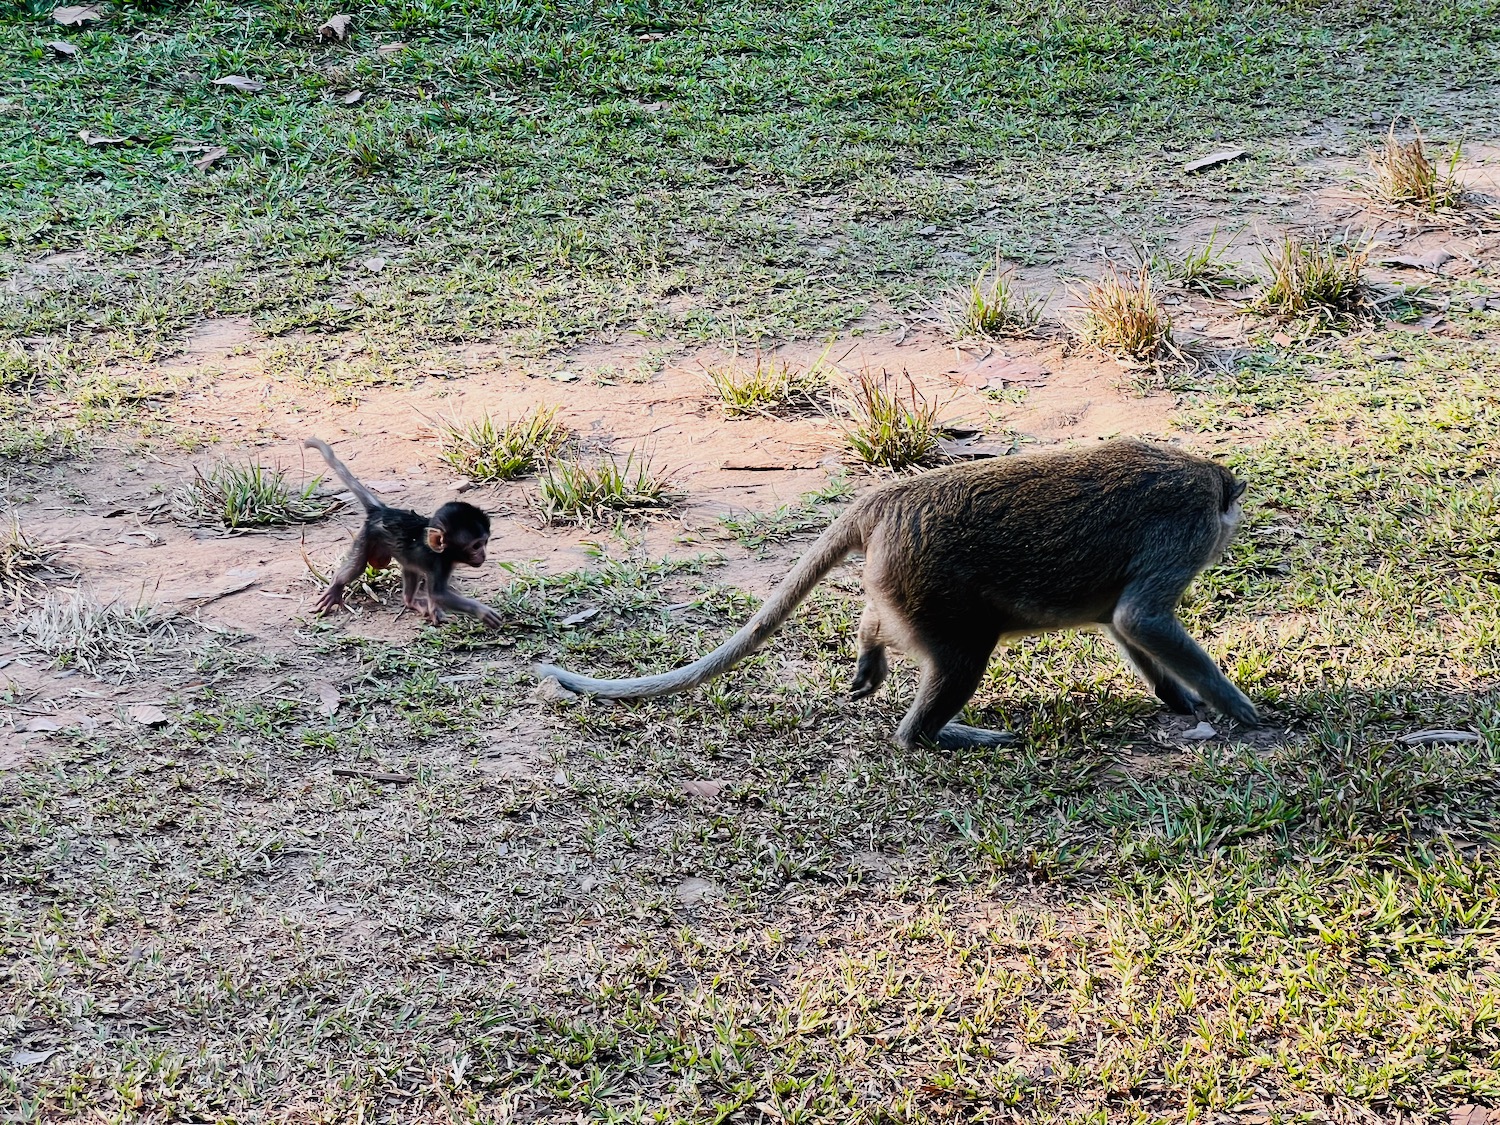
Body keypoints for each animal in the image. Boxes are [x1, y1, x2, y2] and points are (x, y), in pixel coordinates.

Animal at [306, 438, 504, 630]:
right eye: (476, 546)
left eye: (485, 543)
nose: (483, 554)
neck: (443, 552)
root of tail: (382, 511)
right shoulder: (440, 564)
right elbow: (439, 594)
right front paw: (482, 611)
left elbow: (434, 595)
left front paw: (436, 614)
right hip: (366, 537)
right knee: (358, 567)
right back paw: (336, 586)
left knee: (410, 568)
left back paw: (410, 602)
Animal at [534, 441, 1260, 750]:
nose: (1230, 537)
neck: (1204, 479)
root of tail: (886, 498)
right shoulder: (1184, 529)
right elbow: (1140, 617)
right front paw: (1239, 708)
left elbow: (1123, 623)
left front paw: (1179, 697)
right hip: (928, 582)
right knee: (959, 663)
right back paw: (934, 735)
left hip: (902, 582)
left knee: (902, 629)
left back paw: (871, 647)